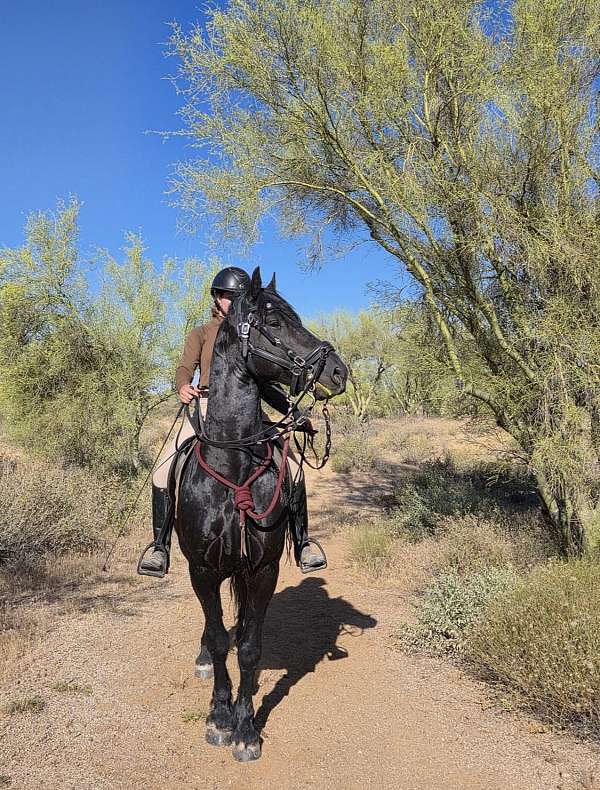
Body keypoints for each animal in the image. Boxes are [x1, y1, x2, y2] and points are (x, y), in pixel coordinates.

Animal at [175, 267, 347, 762]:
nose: (339, 371)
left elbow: (249, 647)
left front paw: (246, 726)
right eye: (273, 322)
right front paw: (218, 717)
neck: (234, 468)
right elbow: (218, 640)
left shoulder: (262, 569)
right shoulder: (202, 569)